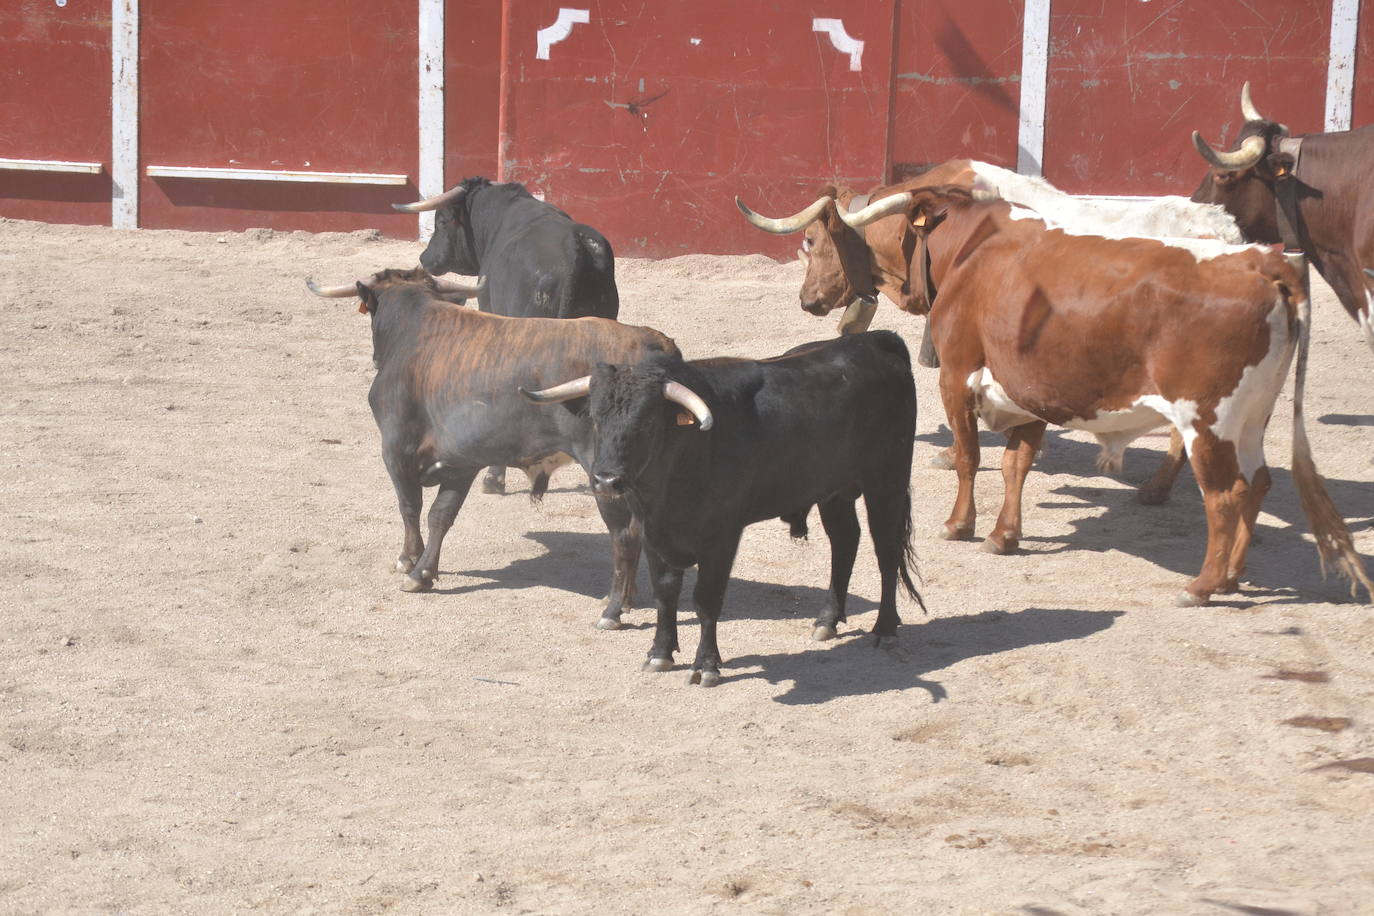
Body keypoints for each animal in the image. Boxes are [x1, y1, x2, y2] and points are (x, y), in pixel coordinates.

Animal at [309, 266, 678, 631]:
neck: (414, 327)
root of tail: (652, 343)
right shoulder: (462, 461)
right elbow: (440, 515)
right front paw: (425, 571)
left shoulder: (396, 449)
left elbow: (410, 507)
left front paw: (409, 561)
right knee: (640, 530)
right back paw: (625, 599)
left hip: (605, 478)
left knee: (624, 535)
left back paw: (613, 610)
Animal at [522, 330, 923, 686]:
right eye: (595, 418)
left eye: (647, 421)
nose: (606, 481)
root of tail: (874, 340)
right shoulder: (653, 533)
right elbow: (665, 593)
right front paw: (659, 654)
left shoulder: (721, 538)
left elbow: (706, 599)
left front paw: (706, 666)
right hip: (833, 490)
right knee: (845, 542)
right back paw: (827, 620)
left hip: (886, 479)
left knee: (886, 552)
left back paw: (885, 628)